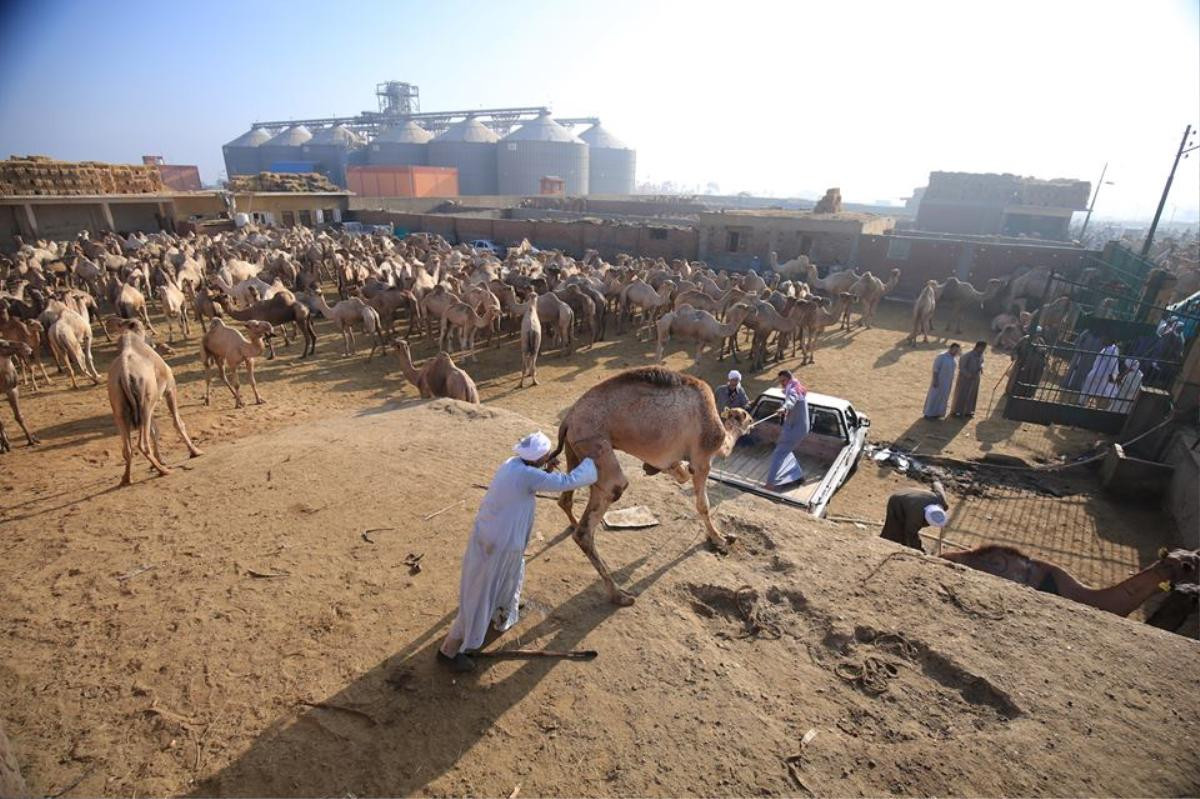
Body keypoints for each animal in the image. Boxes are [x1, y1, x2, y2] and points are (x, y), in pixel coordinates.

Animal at [108, 319, 204, 484]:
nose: (172, 350)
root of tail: (125, 373)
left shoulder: (151, 401)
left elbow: (154, 430)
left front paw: (160, 460)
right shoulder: (170, 388)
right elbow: (177, 422)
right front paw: (195, 451)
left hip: (121, 407)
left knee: (128, 447)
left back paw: (126, 478)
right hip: (144, 404)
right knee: (142, 444)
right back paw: (164, 471)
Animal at [549, 367, 753, 604]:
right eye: (747, 417)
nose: (752, 422)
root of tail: (568, 419)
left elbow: (680, 473)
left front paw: (661, 468)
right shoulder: (702, 459)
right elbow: (703, 504)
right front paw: (720, 539)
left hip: (574, 449)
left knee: (566, 499)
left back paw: (573, 525)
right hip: (594, 444)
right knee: (598, 510)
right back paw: (619, 595)